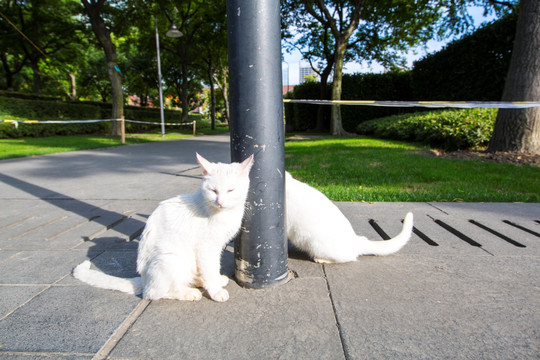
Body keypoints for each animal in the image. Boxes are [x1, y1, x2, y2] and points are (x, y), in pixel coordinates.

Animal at [72, 153, 255, 302]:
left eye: (231, 190)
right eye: (213, 191)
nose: (220, 202)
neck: (224, 213)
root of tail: (144, 279)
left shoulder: (216, 247)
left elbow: (212, 268)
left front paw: (215, 280)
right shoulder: (206, 248)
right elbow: (210, 268)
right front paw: (215, 291)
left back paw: (204, 281)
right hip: (170, 259)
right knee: (153, 293)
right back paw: (189, 293)